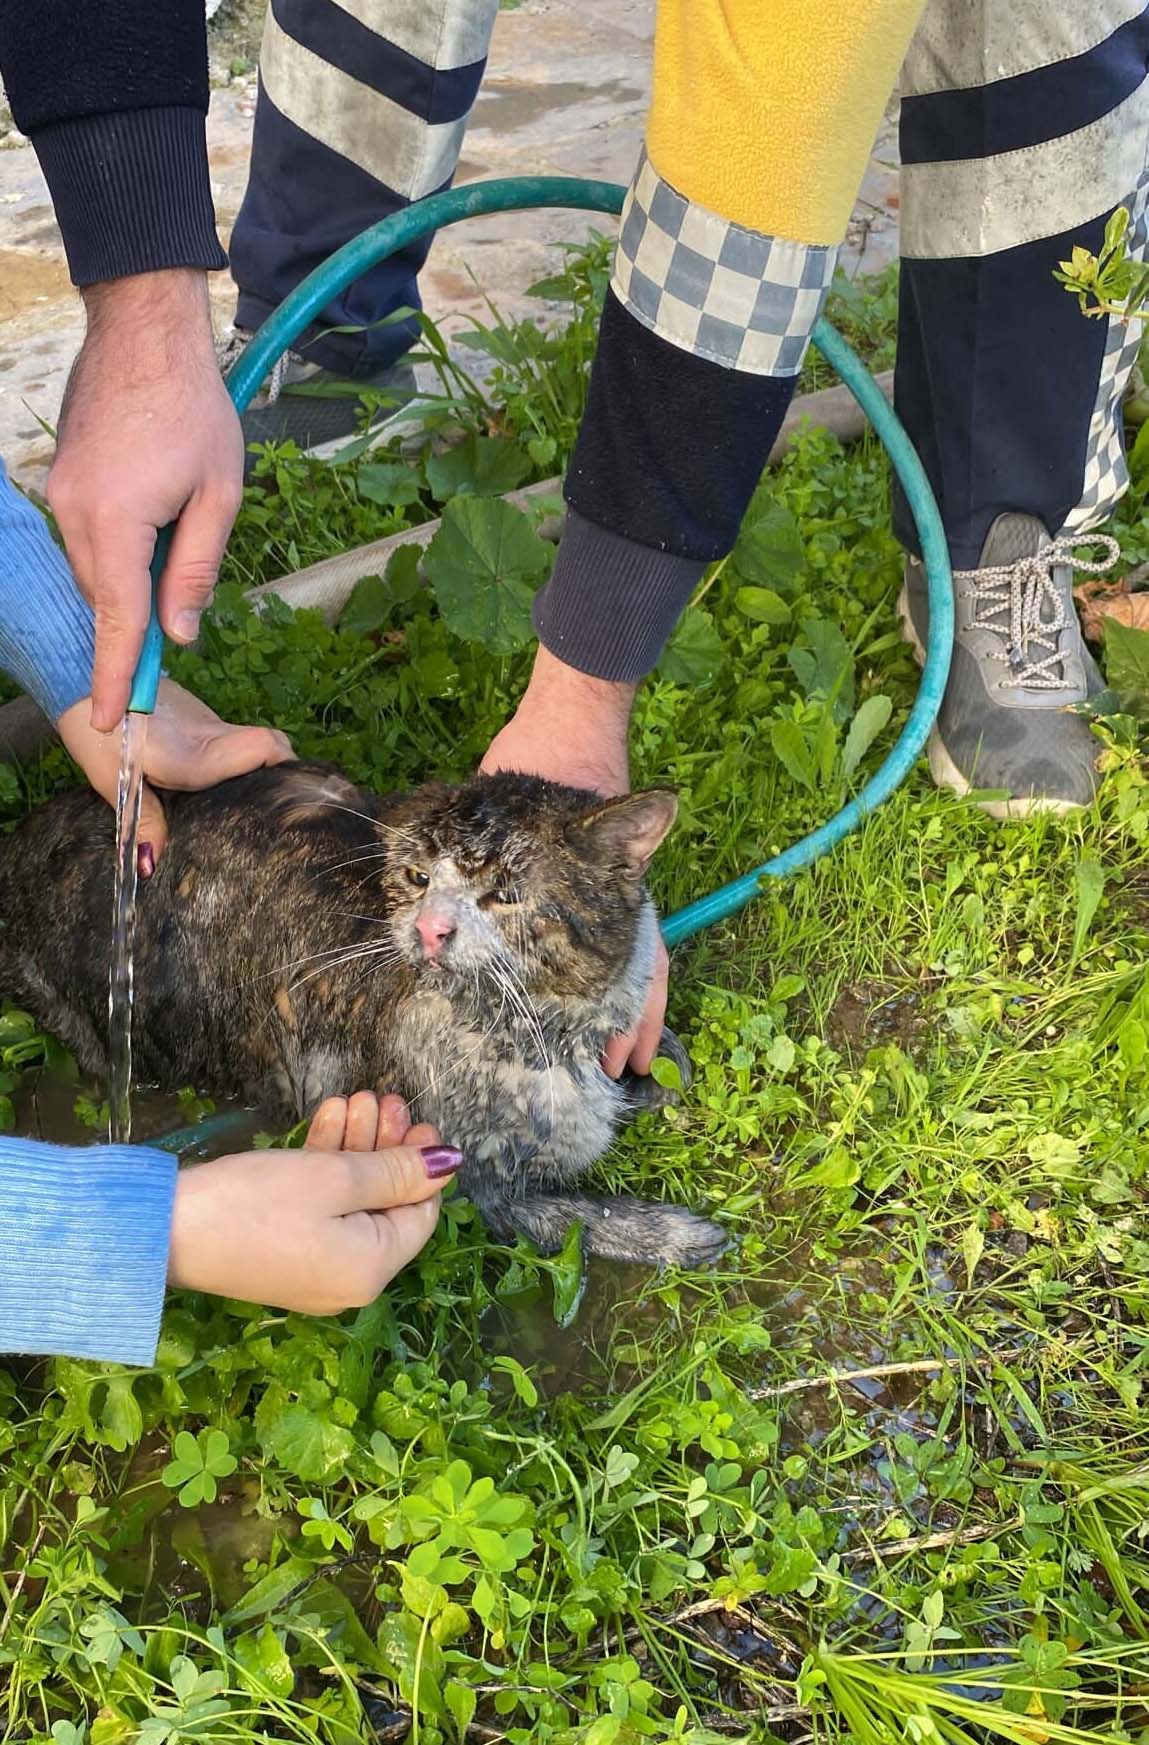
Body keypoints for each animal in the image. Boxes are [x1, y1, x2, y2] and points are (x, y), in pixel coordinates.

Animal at [0, 764, 719, 1270]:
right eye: (417, 878)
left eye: (506, 895)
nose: (429, 929)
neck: (541, 1031)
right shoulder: (477, 1185)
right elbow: (573, 1216)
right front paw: (679, 1236)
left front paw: (659, 1065)